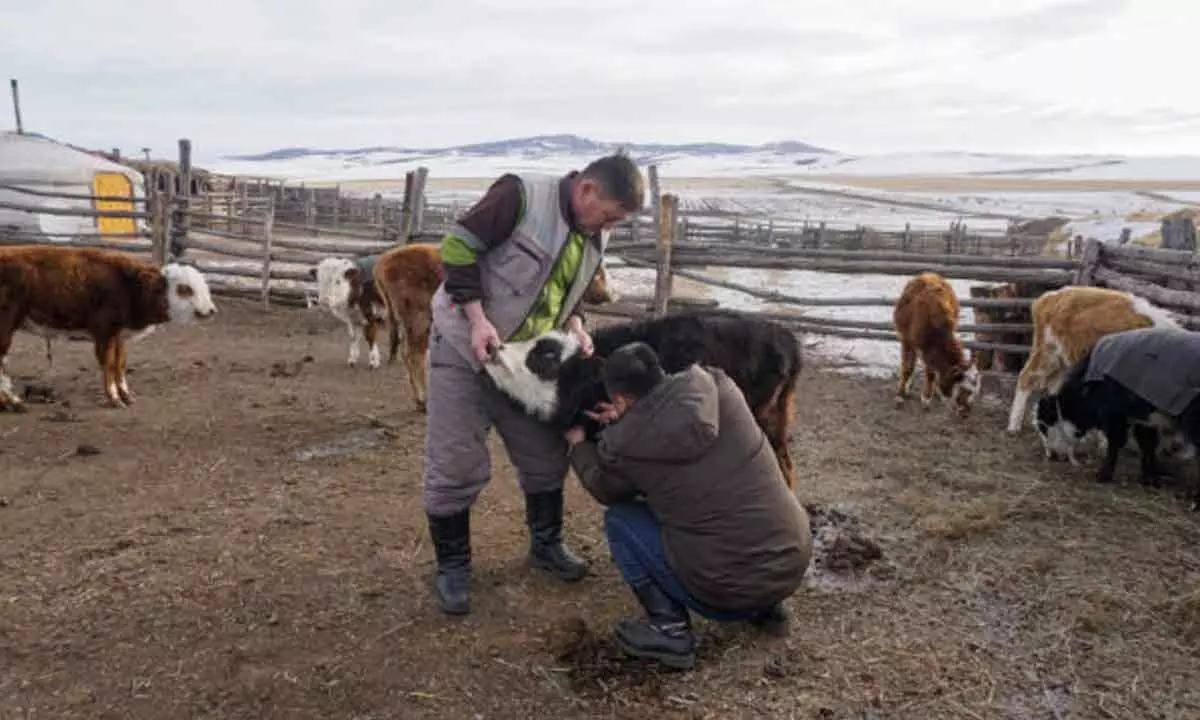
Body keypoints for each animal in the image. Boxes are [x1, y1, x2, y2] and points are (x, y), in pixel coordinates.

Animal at [1032, 326, 1200, 511]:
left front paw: (1103, 475)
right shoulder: (1143, 420)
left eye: (1044, 424)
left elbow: (1115, 443)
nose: (1052, 455)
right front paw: (1150, 479)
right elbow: (1147, 446)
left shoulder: (1113, 415)